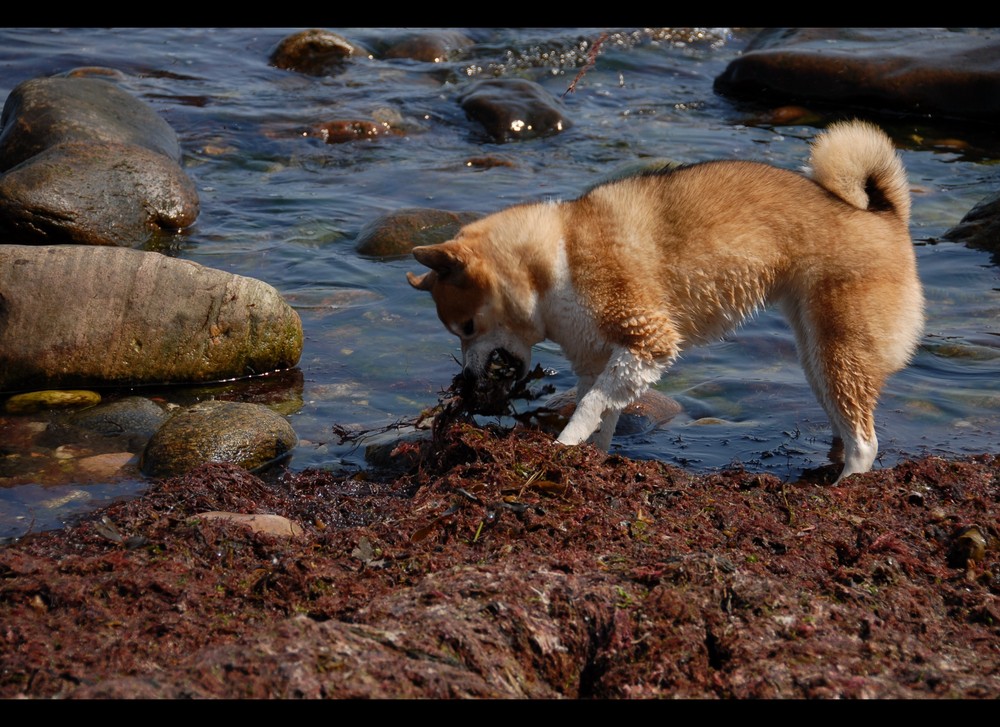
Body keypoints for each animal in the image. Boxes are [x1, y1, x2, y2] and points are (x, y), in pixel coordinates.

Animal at [406, 119, 920, 484]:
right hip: (817, 354)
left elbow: (588, 409)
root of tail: (882, 214)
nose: (467, 382)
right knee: (846, 423)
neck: (555, 257)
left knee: (865, 442)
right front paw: (592, 460)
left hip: (838, 351)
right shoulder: (605, 360)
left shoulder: (648, 341)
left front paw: (562, 448)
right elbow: (603, 415)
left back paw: (847, 486)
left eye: (466, 328)